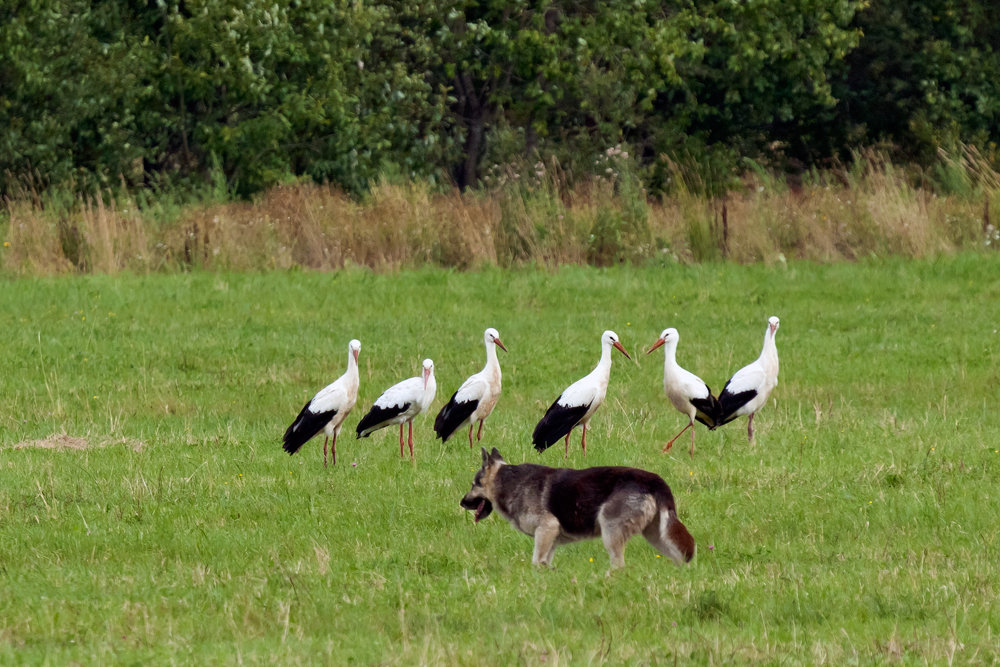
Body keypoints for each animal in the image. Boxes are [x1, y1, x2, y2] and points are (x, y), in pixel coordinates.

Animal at [460, 448, 696, 568]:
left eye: (474, 484)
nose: (461, 503)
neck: (507, 481)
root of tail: (655, 481)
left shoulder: (546, 528)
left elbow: (536, 561)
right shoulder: (550, 539)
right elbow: (545, 562)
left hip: (611, 531)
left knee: (618, 564)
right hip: (656, 535)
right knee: (678, 557)